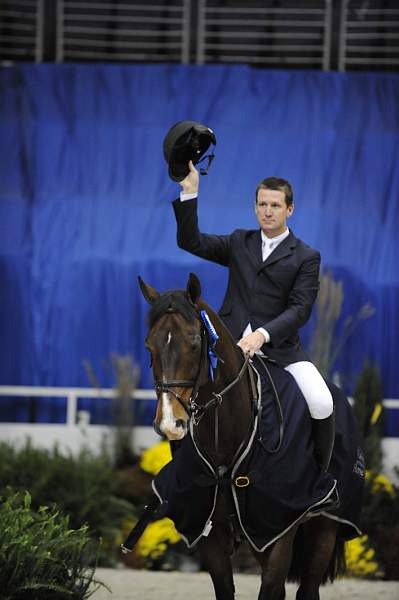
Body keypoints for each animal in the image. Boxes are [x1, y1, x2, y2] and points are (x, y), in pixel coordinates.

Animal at [139, 274, 346, 600]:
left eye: (195, 343)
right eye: (149, 346)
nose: (171, 423)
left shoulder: (280, 527)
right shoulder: (211, 533)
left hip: (323, 529)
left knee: (308, 589)